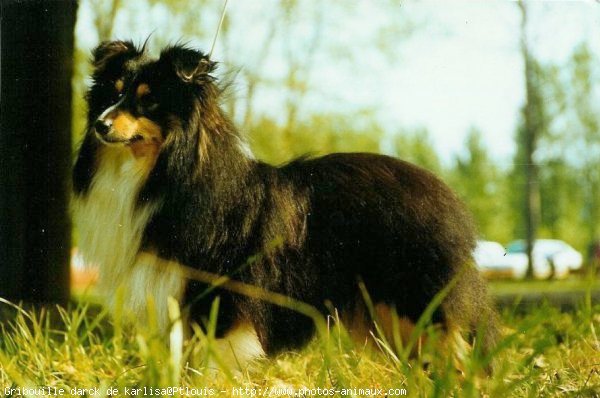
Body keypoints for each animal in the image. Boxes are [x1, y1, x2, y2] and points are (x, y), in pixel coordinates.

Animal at [74, 39, 496, 366]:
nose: (100, 125)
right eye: (112, 93)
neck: (163, 175)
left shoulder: (221, 297)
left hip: (419, 303)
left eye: (148, 102)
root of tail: (447, 197)